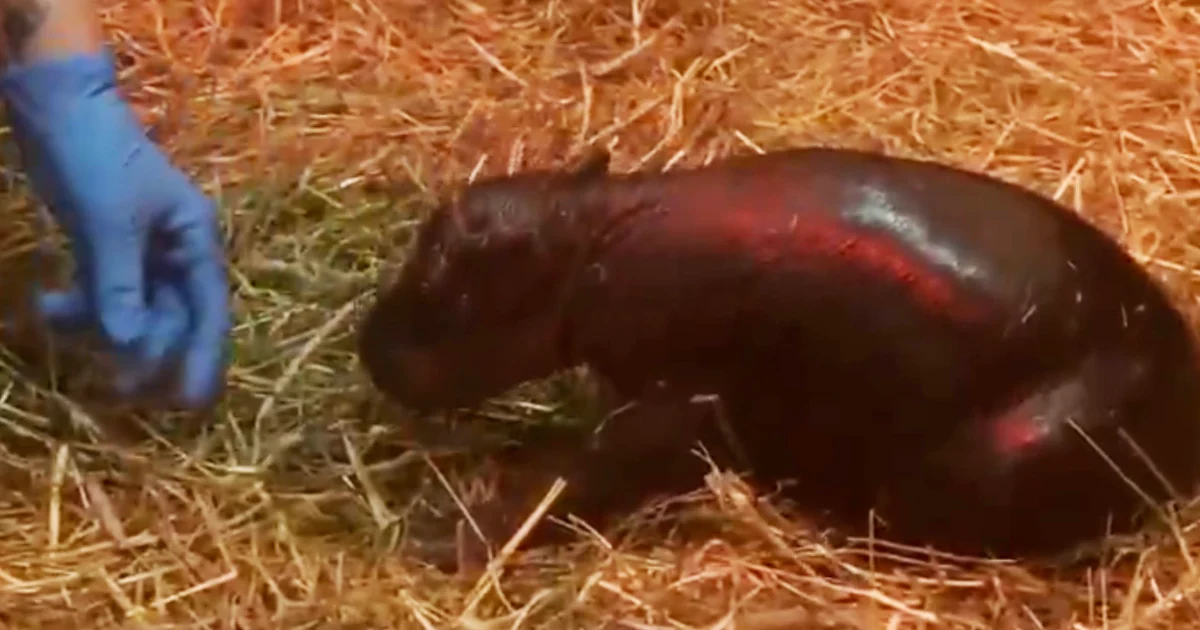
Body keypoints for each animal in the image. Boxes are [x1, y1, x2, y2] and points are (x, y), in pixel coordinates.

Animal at [357, 147, 1200, 571]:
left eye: (449, 276)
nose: (367, 344)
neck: (593, 248)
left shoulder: (677, 401)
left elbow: (577, 475)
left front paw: (448, 539)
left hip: (1008, 453)